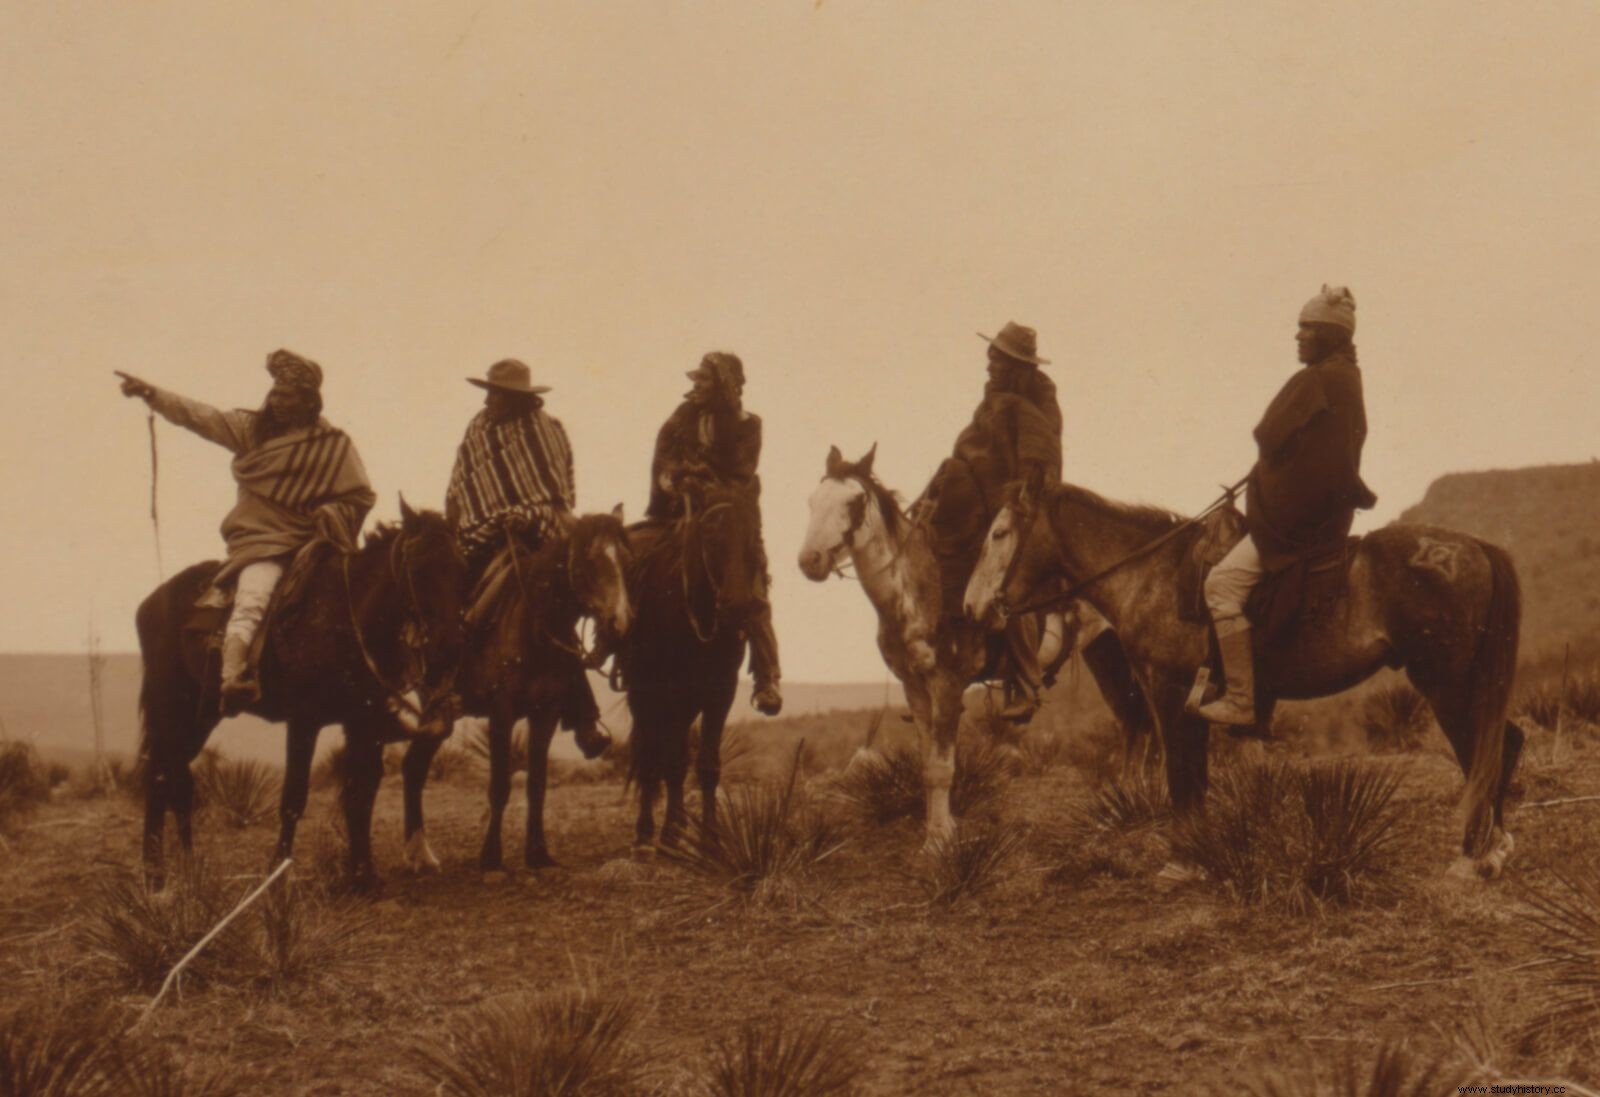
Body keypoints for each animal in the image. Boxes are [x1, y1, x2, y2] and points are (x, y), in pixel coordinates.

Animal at [134, 502, 467, 889]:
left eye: (461, 568)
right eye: (420, 568)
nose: (449, 648)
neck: (346, 615)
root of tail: (151, 602)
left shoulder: (363, 724)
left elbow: (361, 792)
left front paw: (363, 875)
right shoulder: (305, 721)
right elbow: (294, 798)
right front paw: (278, 872)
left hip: (200, 717)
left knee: (173, 776)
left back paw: (182, 869)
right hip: (170, 706)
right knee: (160, 775)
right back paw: (154, 875)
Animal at [396, 508, 633, 876]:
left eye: (624, 559)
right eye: (589, 561)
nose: (620, 624)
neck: (532, 627)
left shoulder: (545, 715)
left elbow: (537, 784)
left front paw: (538, 854)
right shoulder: (501, 713)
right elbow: (500, 785)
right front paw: (491, 860)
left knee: (414, 766)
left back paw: (419, 853)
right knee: (414, 766)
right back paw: (418, 854)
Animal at [620, 479, 758, 850]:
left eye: (753, 531)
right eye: (709, 533)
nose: (738, 608)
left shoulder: (719, 693)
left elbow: (706, 764)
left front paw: (709, 837)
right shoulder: (660, 692)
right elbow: (666, 761)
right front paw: (662, 835)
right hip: (649, 697)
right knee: (651, 755)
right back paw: (649, 830)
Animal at [796, 447, 1152, 850]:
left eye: (854, 501)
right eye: (812, 500)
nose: (810, 561)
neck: (921, 590)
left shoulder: (948, 685)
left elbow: (941, 767)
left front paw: (937, 841)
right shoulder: (915, 688)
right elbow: (927, 764)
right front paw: (941, 829)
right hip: (1103, 653)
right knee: (1131, 719)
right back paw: (1124, 802)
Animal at [960, 476, 1523, 882]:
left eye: (998, 534)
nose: (971, 608)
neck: (1152, 575)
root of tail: (1475, 546)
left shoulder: (1172, 694)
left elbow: (1183, 779)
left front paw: (1183, 861)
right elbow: (1193, 778)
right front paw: (1197, 854)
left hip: (1446, 684)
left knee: (1481, 751)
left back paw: (1475, 854)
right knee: (1505, 742)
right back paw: (1493, 849)